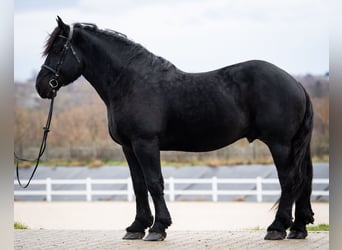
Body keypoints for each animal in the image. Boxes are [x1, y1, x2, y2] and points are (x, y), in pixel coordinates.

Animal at [36, 17, 314, 240]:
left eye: (58, 49)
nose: (41, 86)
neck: (129, 82)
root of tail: (295, 83)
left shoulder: (145, 143)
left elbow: (154, 182)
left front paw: (158, 228)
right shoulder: (128, 147)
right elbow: (138, 185)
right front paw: (137, 227)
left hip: (279, 143)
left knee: (289, 180)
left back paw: (277, 228)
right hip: (296, 144)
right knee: (305, 179)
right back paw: (298, 228)